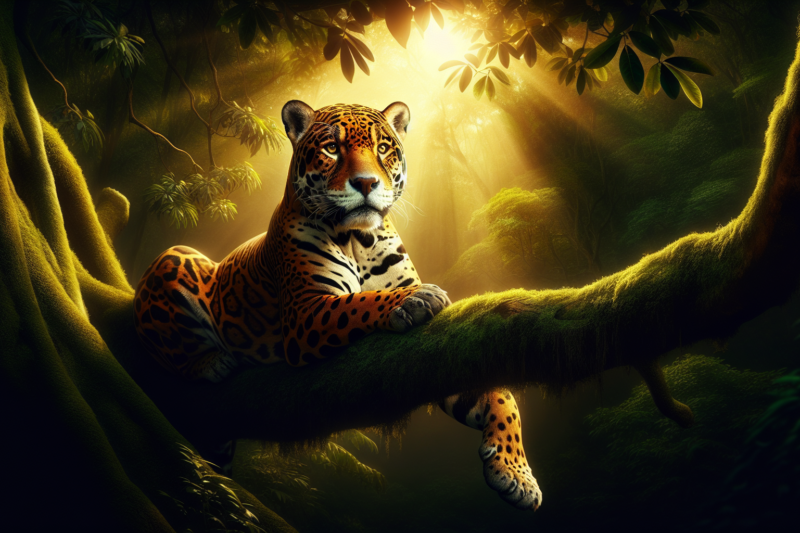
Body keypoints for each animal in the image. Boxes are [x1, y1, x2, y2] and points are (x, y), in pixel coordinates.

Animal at [134, 100, 541, 510]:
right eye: (332, 148)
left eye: (382, 148)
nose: (366, 183)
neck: (359, 238)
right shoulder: (306, 313)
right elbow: (359, 302)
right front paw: (416, 298)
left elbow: (501, 395)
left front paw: (517, 475)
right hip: (176, 255)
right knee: (160, 347)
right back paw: (211, 362)